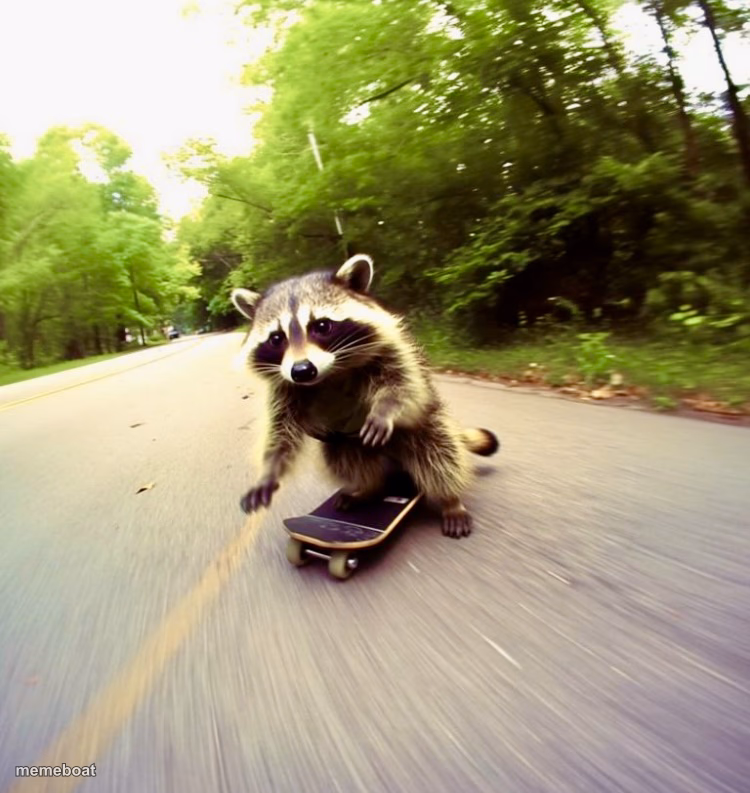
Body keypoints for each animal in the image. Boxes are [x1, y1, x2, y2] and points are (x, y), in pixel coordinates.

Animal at [231, 254, 499, 537]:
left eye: (321, 326)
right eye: (276, 338)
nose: (302, 370)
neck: (329, 374)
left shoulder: (394, 349)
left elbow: (404, 385)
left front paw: (385, 408)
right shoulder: (284, 388)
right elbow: (281, 432)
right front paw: (269, 470)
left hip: (426, 424)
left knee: (438, 452)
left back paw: (450, 500)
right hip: (348, 442)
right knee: (345, 458)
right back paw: (368, 488)